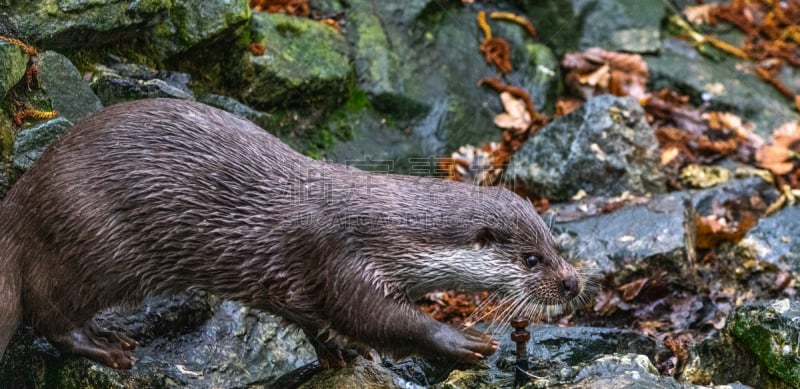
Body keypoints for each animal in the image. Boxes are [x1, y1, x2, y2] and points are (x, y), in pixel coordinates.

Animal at [0, 98, 584, 368]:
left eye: (555, 245)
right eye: (532, 260)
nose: (573, 282)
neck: (390, 230)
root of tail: (20, 199)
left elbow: (319, 318)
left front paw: (341, 353)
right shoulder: (340, 255)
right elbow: (372, 315)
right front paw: (460, 339)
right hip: (91, 241)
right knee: (47, 311)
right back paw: (106, 347)